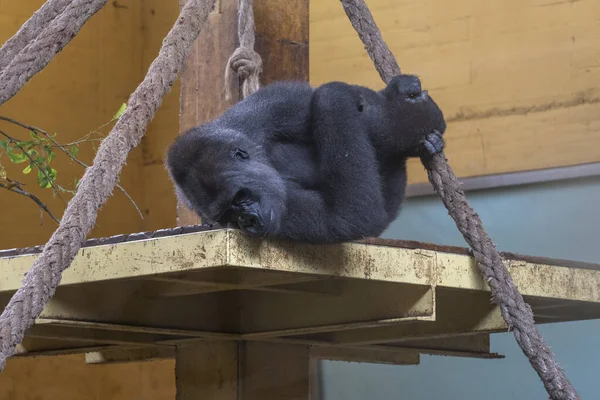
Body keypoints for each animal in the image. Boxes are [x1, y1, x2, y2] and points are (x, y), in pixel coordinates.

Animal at [164, 74, 446, 244]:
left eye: (240, 198)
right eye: (228, 216)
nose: (248, 220)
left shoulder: (273, 105)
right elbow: (348, 218)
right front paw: (334, 94)